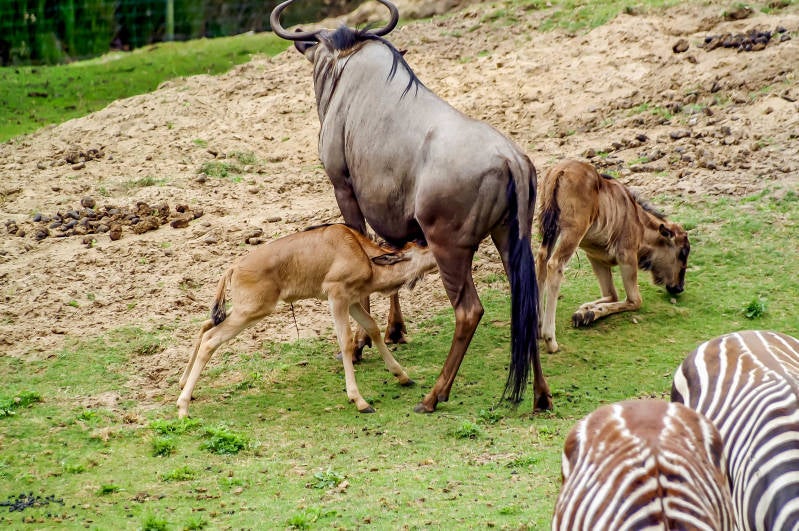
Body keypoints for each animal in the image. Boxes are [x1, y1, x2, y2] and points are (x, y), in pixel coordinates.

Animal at [176, 224, 437, 418]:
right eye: (423, 244)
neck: (360, 252)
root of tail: (232, 267)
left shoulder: (352, 302)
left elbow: (372, 327)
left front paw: (402, 376)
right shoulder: (336, 296)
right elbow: (345, 341)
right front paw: (359, 400)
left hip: (244, 311)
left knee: (206, 325)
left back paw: (183, 383)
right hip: (251, 312)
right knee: (211, 340)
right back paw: (183, 407)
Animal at [270, 0, 552, 413]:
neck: (347, 65)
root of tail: (510, 160)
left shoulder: (345, 189)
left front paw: (360, 345)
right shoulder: (391, 214)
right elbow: (389, 263)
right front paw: (394, 331)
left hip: (450, 248)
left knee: (469, 311)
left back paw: (434, 396)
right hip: (511, 240)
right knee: (526, 302)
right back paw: (541, 396)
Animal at [535, 160, 690, 353]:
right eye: (682, 252)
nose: (679, 287)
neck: (638, 219)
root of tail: (560, 171)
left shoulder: (595, 259)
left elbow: (612, 295)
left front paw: (585, 311)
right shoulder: (627, 258)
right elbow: (634, 300)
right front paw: (590, 312)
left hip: (550, 231)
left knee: (541, 260)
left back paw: (538, 326)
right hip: (572, 232)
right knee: (554, 265)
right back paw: (550, 339)